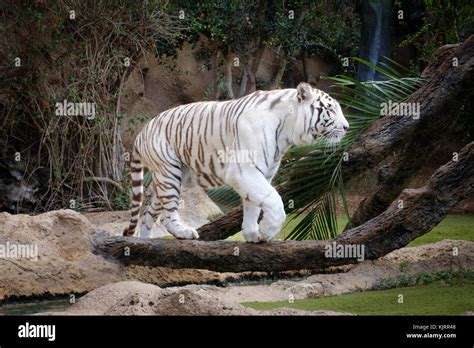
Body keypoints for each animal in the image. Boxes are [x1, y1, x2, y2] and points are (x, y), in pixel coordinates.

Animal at [124, 83, 348, 243]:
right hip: (169, 172)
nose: (347, 127)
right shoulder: (244, 170)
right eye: (331, 110)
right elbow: (273, 199)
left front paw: (253, 234)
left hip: (168, 177)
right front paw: (268, 230)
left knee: (147, 214)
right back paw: (184, 233)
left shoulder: (261, 173)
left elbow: (254, 204)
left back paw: (145, 241)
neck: (287, 132)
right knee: (167, 214)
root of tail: (142, 132)